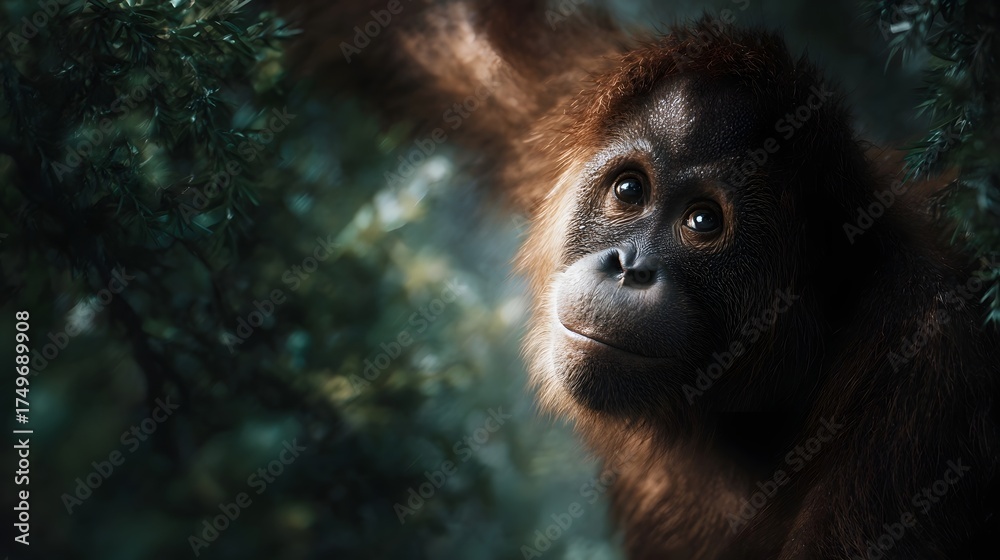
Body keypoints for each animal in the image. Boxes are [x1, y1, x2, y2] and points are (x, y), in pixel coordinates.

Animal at [276, 1, 1000, 558]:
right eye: (629, 189)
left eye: (703, 221)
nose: (629, 267)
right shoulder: (567, 95)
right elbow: (432, 24)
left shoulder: (929, 380)